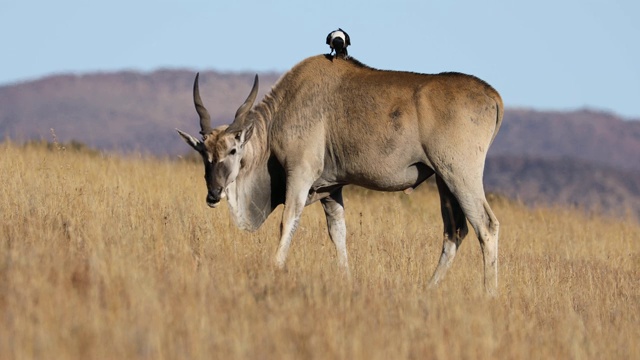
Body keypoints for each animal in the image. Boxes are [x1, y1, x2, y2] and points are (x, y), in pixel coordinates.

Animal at [178, 54, 502, 296]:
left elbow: (288, 222)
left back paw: (489, 294)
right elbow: (338, 234)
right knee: (454, 232)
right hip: (444, 181)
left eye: (233, 150)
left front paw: (276, 267)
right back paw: (427, 289)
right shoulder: (331, 189)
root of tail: (493, 96)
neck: (282, 113)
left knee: (486, 226)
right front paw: (346, 280)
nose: (213, 193)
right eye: (204, 154)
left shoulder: (300, 175)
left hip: (460, 175)